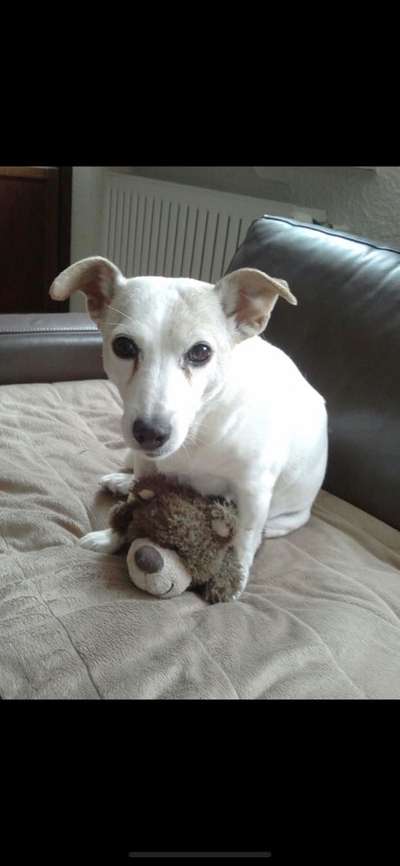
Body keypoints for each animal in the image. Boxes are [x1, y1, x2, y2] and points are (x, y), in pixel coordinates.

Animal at [50, 253, 326, 596]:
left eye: (201, 352)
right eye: (124, 347)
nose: (150, 434)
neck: (200, 429)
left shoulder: (253, 491)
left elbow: (243, 539)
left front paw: (233, 579)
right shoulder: (146, 464)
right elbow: (133, 504)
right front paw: (111, 537)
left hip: (285, 516)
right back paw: (121, 481)